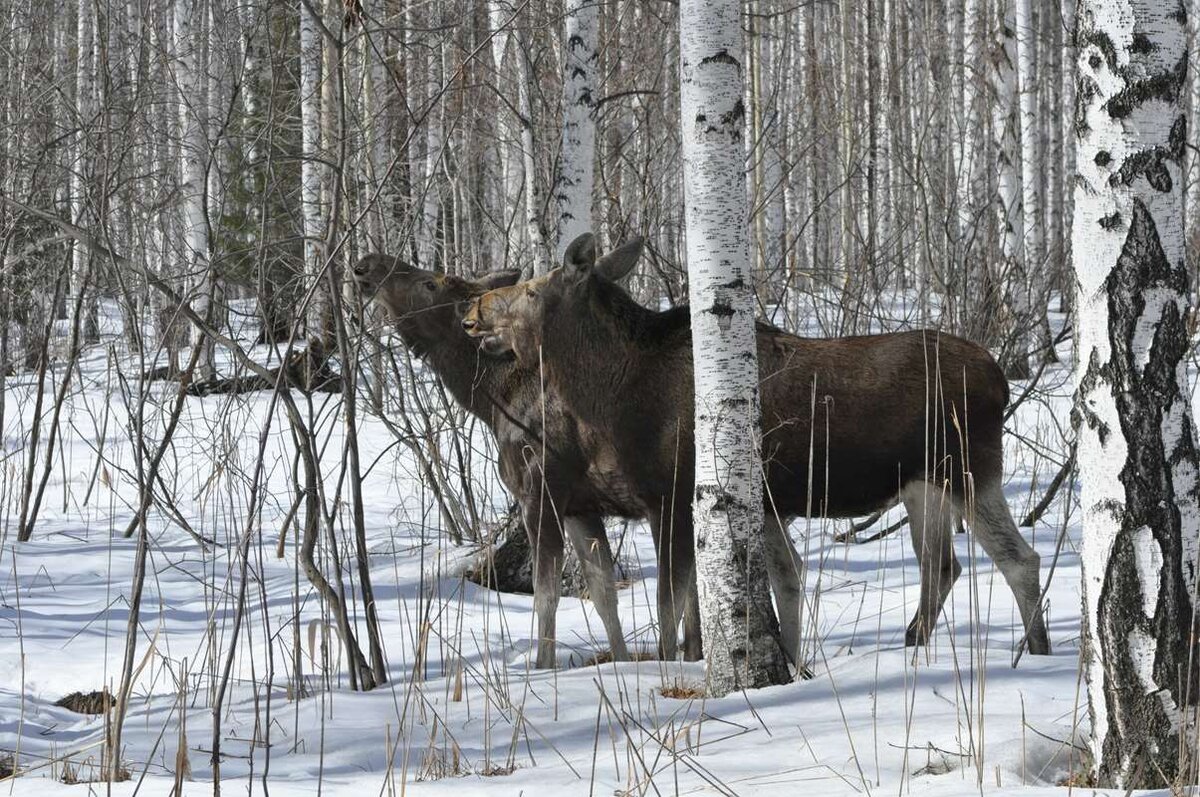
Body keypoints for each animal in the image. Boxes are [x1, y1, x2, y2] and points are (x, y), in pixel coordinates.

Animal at [350, 253, 715, 667]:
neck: (492, 399)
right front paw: (621, 662)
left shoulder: (539, 492)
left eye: (429, 282)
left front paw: (543, 666)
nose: (365, 265)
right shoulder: (580, 506)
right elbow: (603, 595)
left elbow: (547, 595)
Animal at [458, 234, 1051, 657]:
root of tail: (1000, 379)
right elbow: (766, 589)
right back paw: (916, 643)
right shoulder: (756, 505)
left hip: (970, 468)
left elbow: (673, 606)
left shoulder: (671, 497)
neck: (610, 393)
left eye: (533, 290)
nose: (476, 307)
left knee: (1019, 558)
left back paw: (1036, 649)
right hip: (922, 483)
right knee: (943, 566)